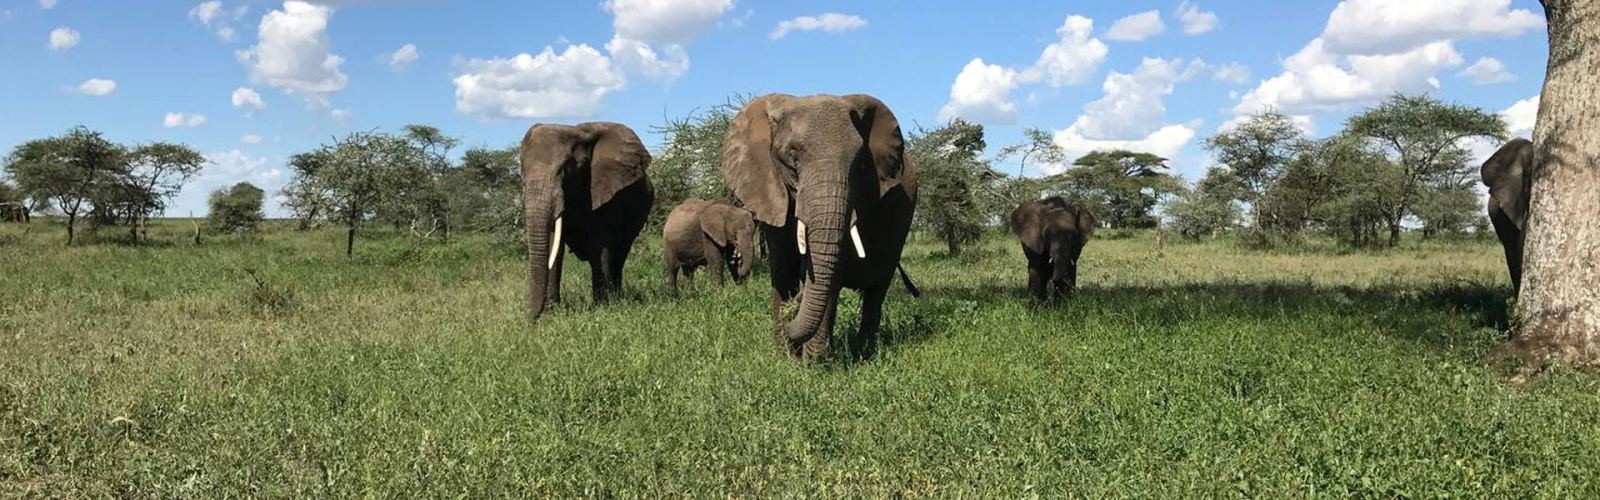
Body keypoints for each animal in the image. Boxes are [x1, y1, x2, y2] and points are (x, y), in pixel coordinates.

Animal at [520, 121, 654, 321]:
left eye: (565, 168)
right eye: (522, 172)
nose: (530, 321)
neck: (579, 132)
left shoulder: (608, 191)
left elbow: (600, 244)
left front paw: (603, 308)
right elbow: (553, 245)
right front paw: (552, 313)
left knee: (619, 254)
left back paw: (616, 298)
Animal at [723, 93, 919, 360]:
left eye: (858, 163)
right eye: (792, 157)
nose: (793, 308)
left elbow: (832, 273)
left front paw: (812, 362)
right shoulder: (771, 189)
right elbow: (782, 267)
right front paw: (785, 357)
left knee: (876, 292)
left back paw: (863, 351)